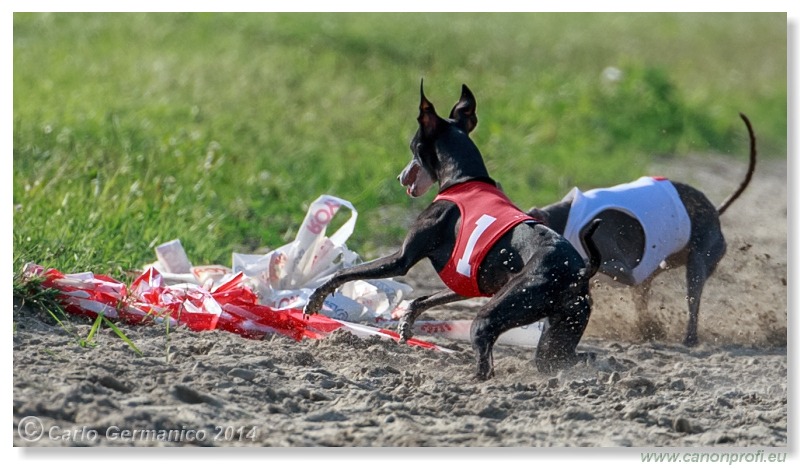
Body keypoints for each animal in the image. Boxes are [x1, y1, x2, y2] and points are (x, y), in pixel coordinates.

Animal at [304, 82, 596, 378]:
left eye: (413, 147)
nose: (400, 177)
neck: (464, 179)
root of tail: (578, 272)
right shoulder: (467, 281)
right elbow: (423, 299)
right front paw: (406, 323)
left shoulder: (401, 260)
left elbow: (344, 273)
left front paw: (316, 298)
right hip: (559, 333)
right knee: (566, 359)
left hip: (496, 313)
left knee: (485, 355)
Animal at [524, 114, 756, 348]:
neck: (566, 218)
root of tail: (715, 213)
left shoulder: (622, 269)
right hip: (660, 263)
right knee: (646, 292)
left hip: (698, 259)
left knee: (693, 295)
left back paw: (689, 338)